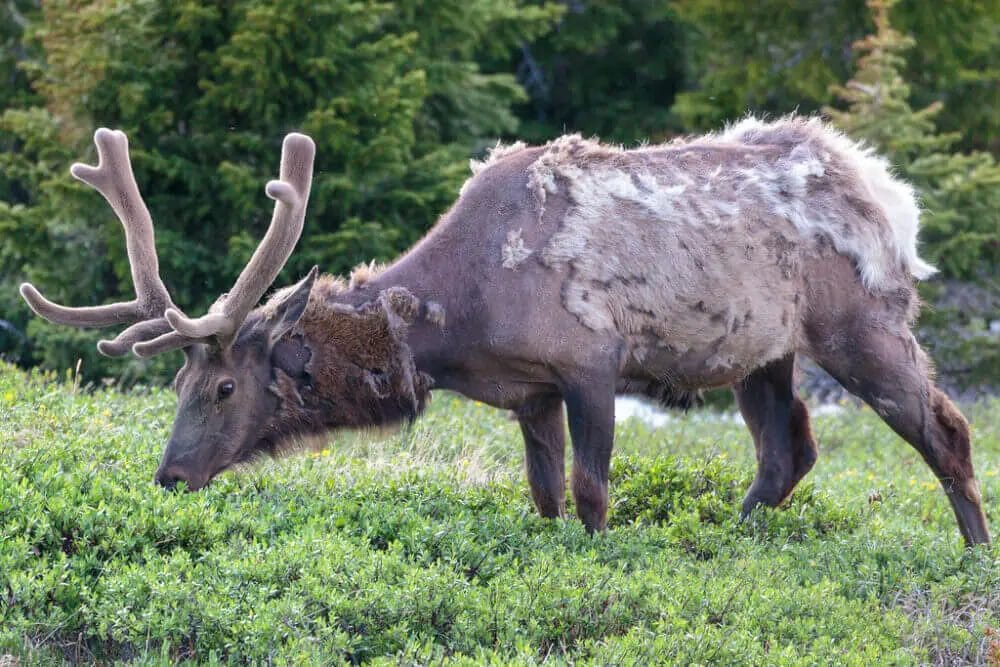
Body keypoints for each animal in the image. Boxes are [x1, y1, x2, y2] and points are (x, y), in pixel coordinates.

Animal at [19, 118, 991, 545]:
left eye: (225, 385)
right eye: (177, 383)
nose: (170, 474)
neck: (462, 322)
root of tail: (892, 196)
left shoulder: (593, 361)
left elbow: (595, 495)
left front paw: (605, 561)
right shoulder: (529, 391)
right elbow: (547, 495)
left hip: (861, 323)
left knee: (945, 426)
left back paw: (975, 552)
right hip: (764, 351)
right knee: (788, 451)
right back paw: (725, 536)